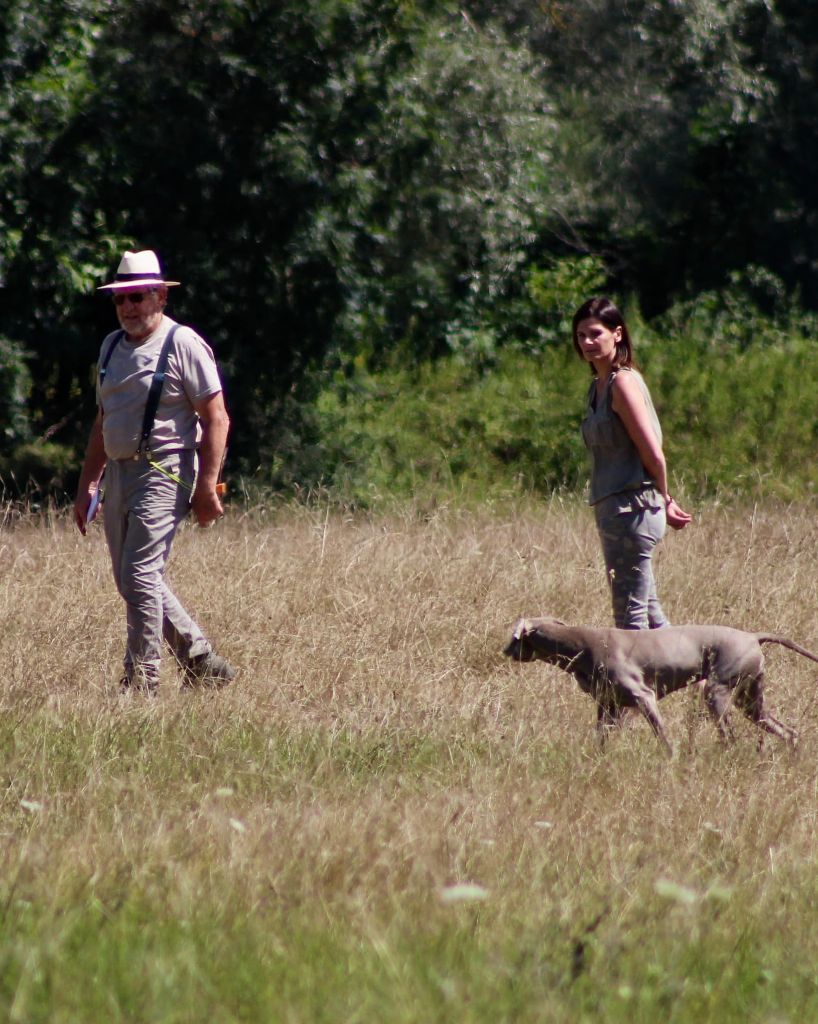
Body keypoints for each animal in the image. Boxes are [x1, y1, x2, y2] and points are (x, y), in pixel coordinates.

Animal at [501, 614, 818, 753]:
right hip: (750, 700)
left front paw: (672, 758)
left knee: (730, 736)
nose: (504, 651)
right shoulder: (609, 705)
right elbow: (601, 738)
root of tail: (753, 636)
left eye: (514, 638)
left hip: (717, 691)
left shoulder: (643, 696)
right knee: (788, 731)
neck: (580, 644)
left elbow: (663, 735)